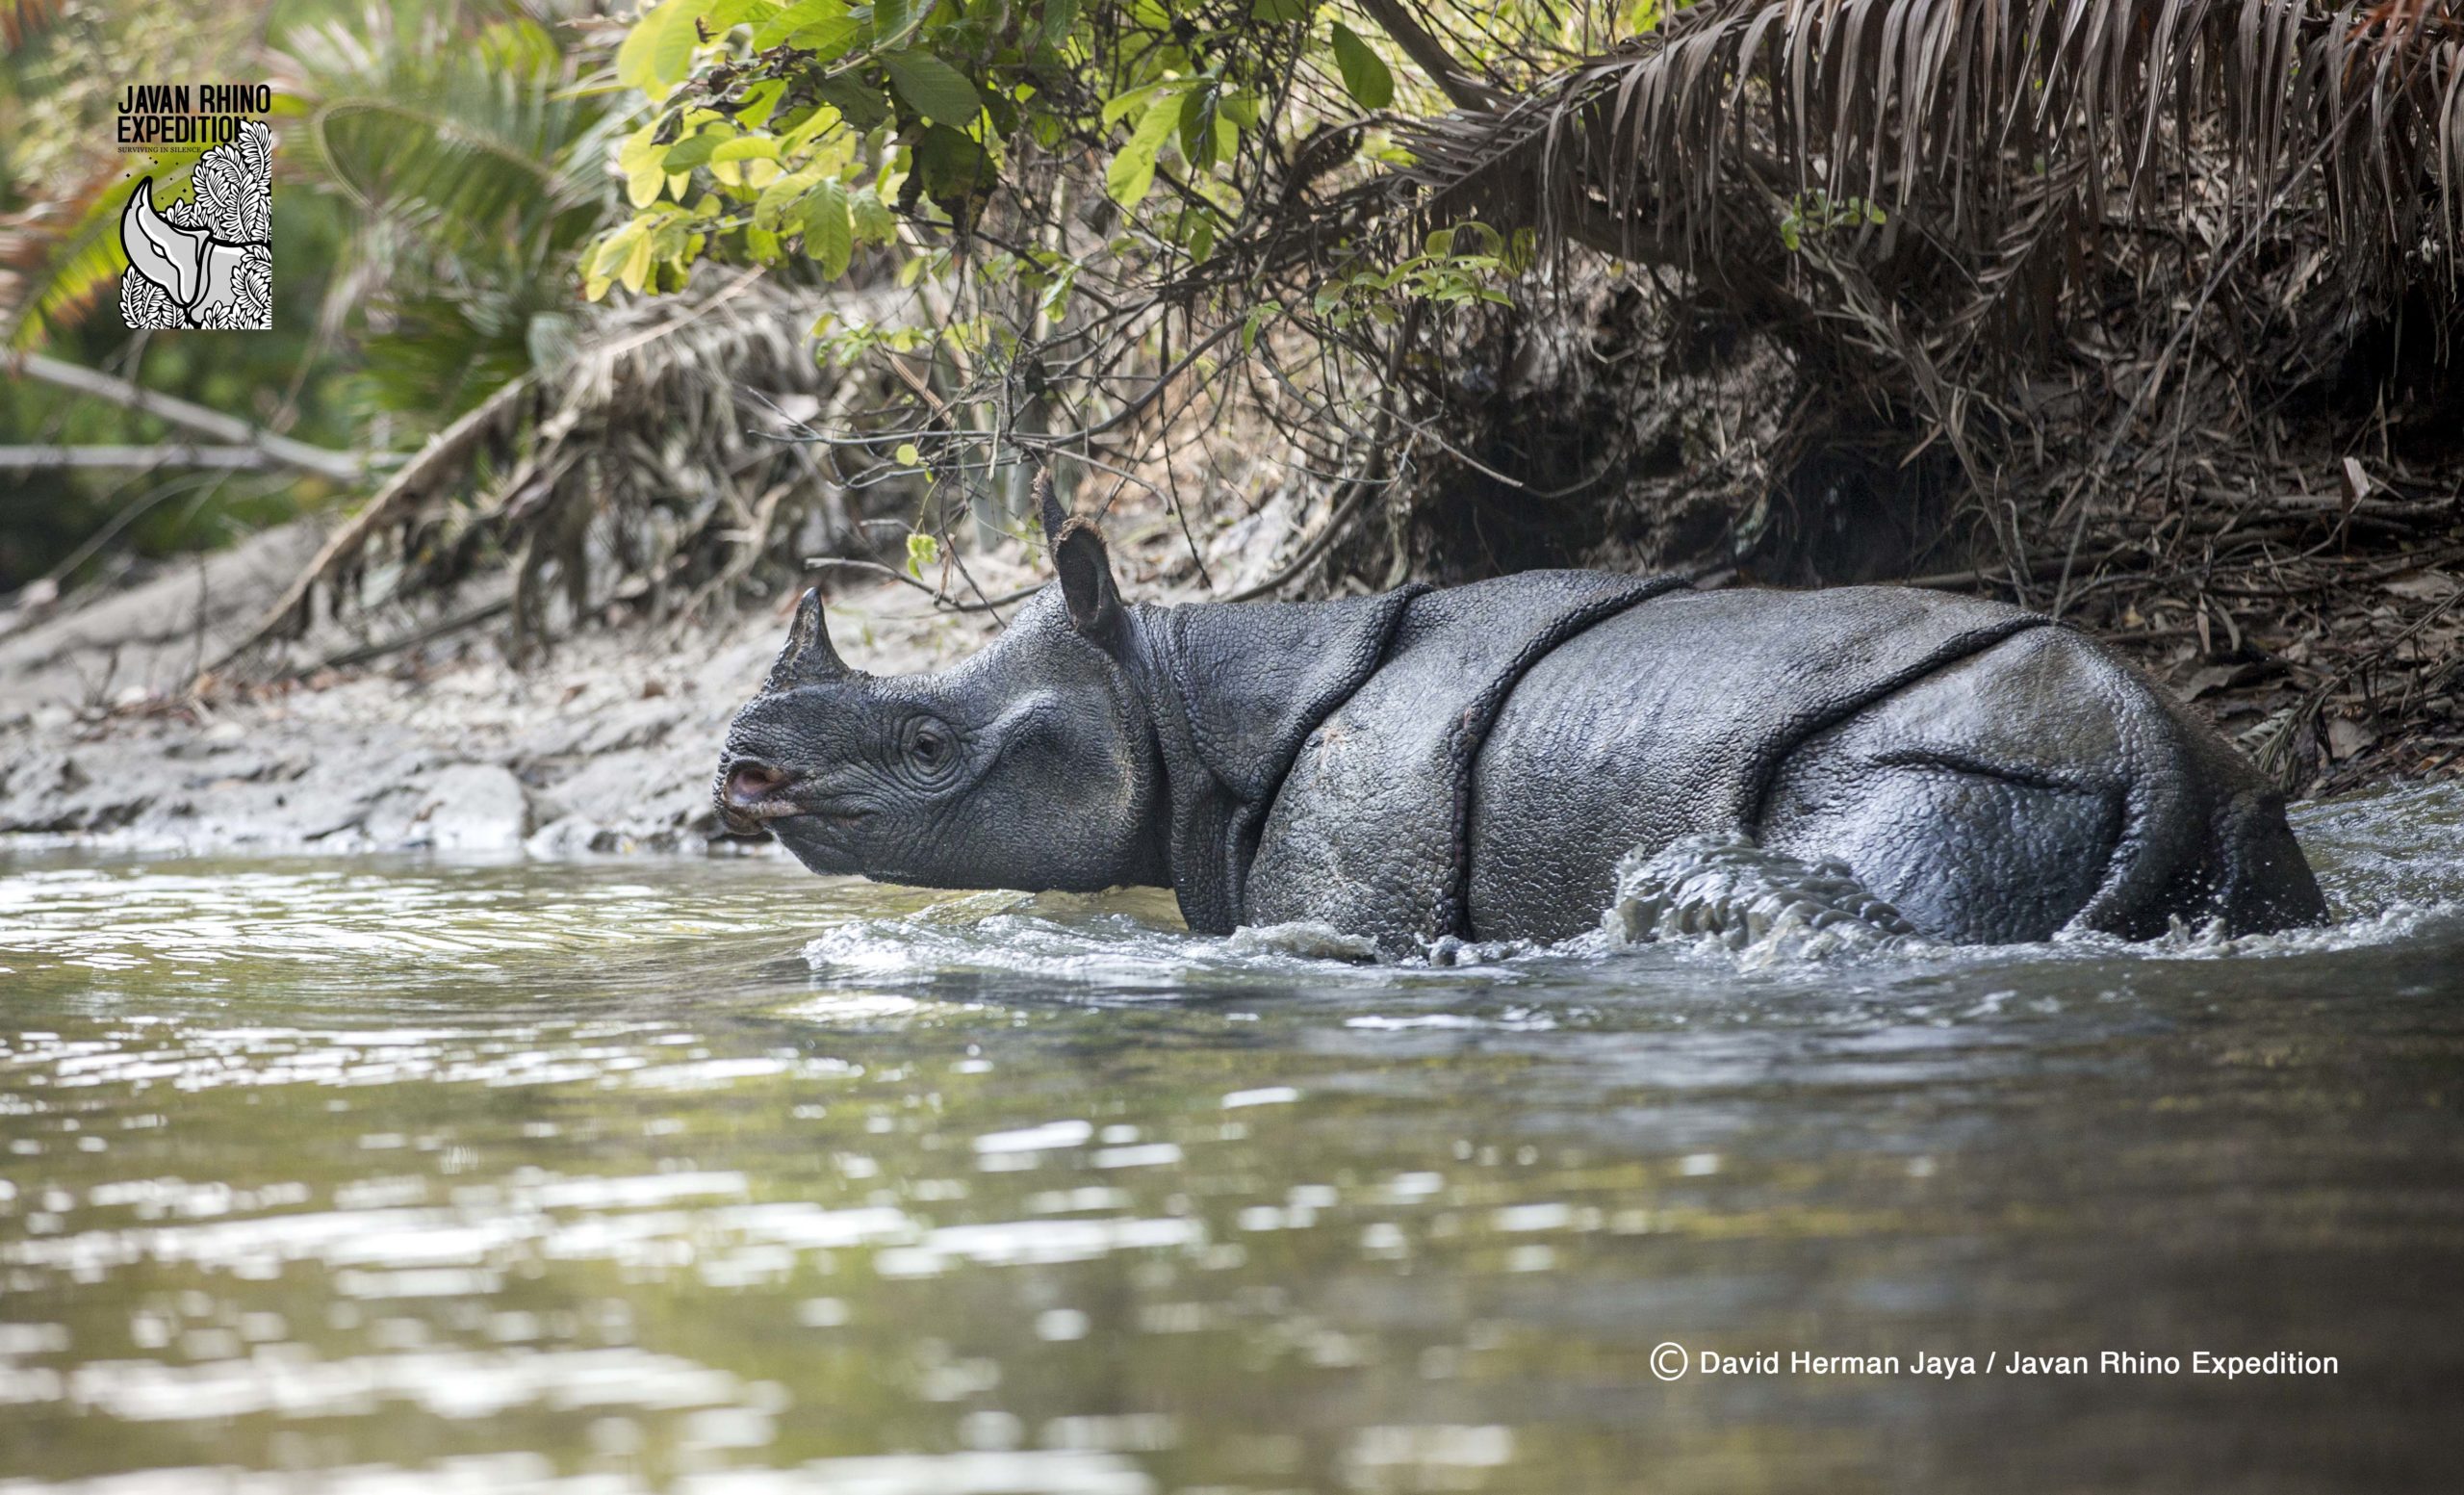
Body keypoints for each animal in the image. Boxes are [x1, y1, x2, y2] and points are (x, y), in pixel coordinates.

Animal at [716, 497, 2325, 951]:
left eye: (931, 746)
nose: (741, 773)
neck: (1175, 691)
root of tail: (2154, 751)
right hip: (2213, 799)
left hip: (1964, 763)